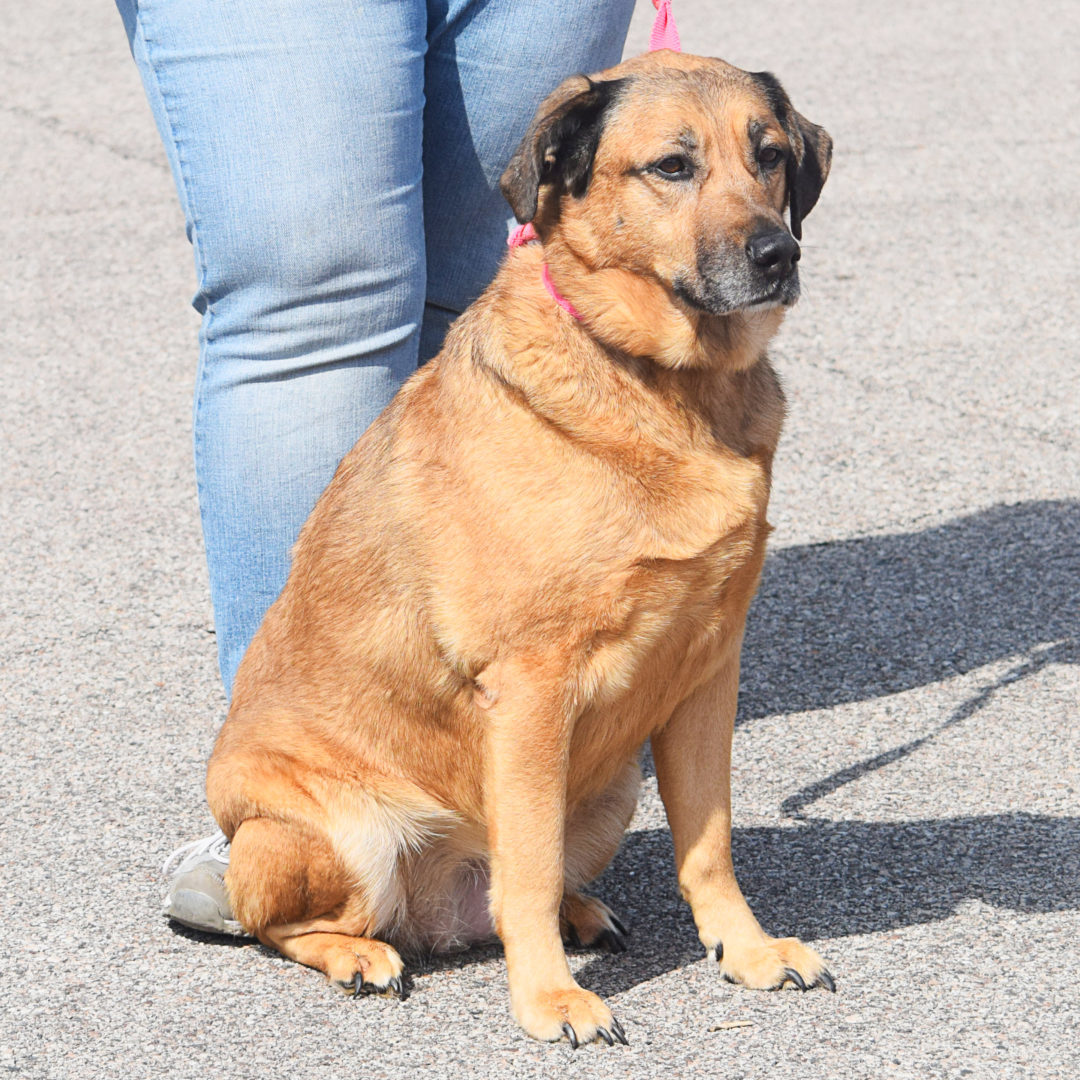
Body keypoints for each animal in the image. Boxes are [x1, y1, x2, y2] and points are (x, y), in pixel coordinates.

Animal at [208, 50, 833, 1045]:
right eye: (671, 167)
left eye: (768, 154)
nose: (780, 255)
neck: (663, 386)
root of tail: (434, 912)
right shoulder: (534, 687)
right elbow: (528, 870)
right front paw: (549, 1000)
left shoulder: (707, 671)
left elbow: (709, 845)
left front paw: (746, 949)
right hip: (344, 834)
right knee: (286, 922)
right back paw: (360, 955)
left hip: (608, 791)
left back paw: (577, 914)